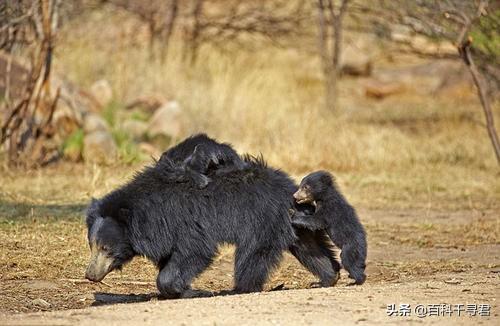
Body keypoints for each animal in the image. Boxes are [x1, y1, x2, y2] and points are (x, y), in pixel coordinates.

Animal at [85, 134, 340, 296]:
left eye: (106, 248)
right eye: (92, 246)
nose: (90, 275)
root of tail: (290, 190)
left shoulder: (182, 221)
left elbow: (195, 250)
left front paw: (186, 289)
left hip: (260, 221)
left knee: (252, 255)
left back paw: (239, 288)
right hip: (295, 223)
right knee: (309, 248)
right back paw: (329, 277)